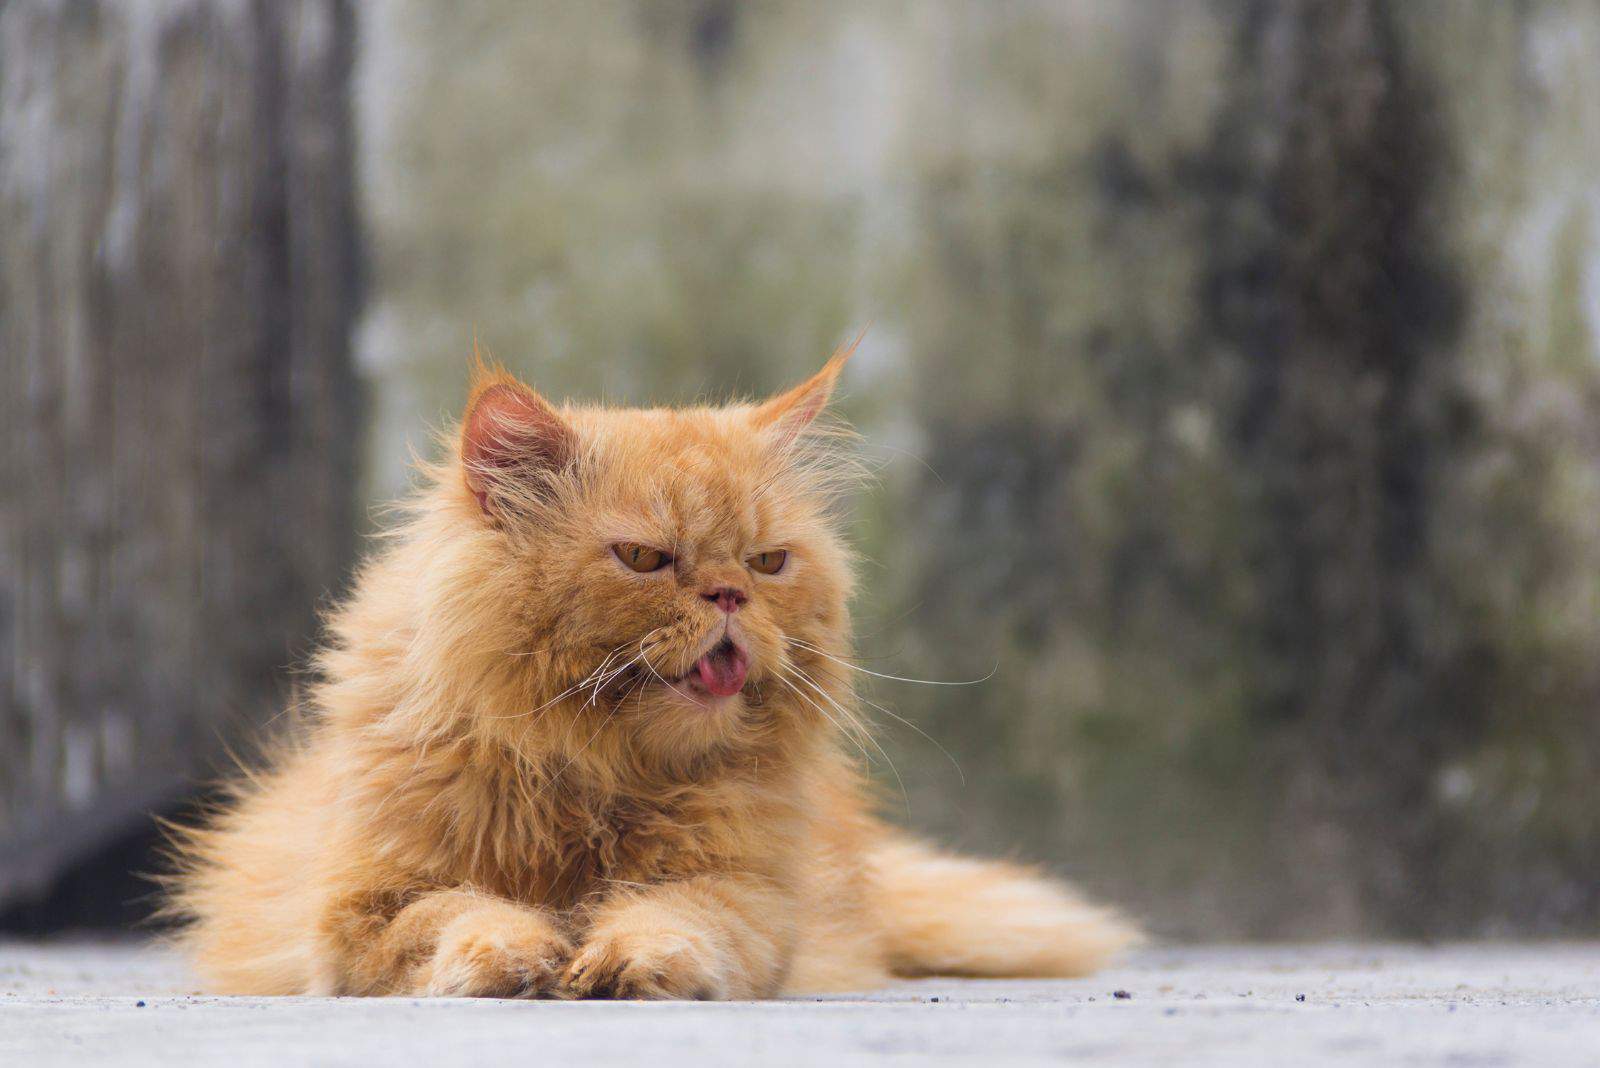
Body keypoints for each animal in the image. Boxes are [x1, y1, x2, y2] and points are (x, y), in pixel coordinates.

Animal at [168, 343, 1132, 1004]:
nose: (729, 594)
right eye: (643, 559)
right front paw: (516, 955)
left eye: (768, 562)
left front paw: (627, 959)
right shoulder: (364, 913)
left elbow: (677, 920)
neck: (593, 774)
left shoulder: (743, 894)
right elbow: (463, 915)